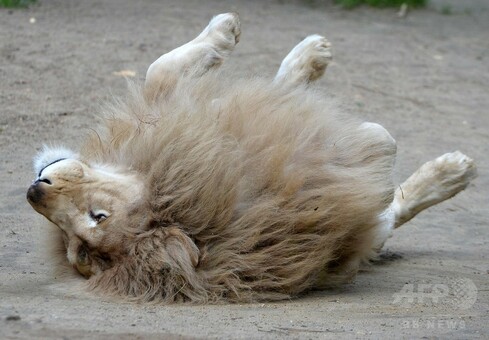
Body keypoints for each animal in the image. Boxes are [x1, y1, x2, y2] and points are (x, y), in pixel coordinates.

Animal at [24, 13, 474, 302]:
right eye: (77, 247)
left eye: (97, 216)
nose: (35, 190)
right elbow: (379, 140)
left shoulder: (186, 115)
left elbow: (161, 68)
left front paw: (298, 52)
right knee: (389, 213)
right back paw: (454, 173)